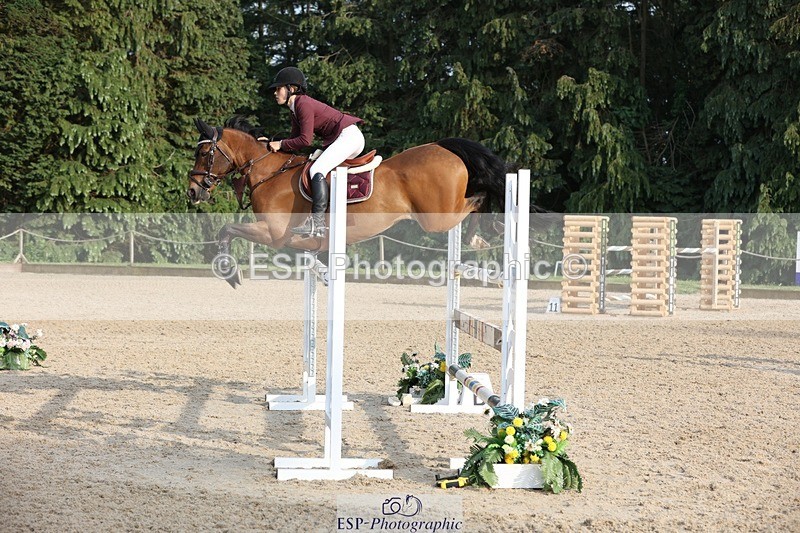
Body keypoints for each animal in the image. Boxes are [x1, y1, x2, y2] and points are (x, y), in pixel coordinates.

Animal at [188, 117, 509, 288]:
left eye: (203, 154)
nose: (192, 192)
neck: (268, 172)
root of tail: (444, 147)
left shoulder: (273, 233)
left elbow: (226, 230)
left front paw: (229, 273)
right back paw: (483, 234)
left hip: (437, 218)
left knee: (479, 197)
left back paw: (486, 232)